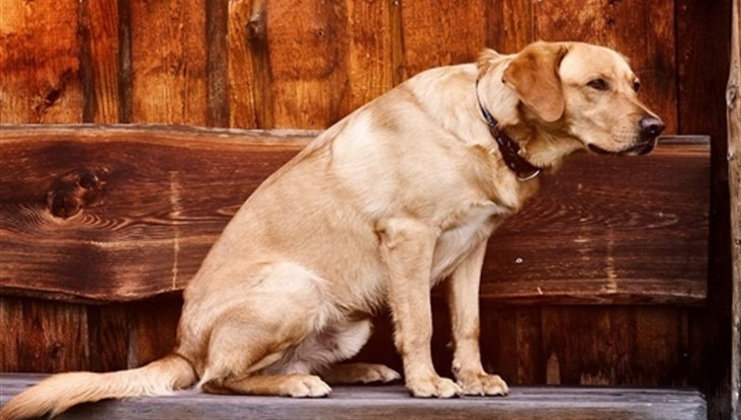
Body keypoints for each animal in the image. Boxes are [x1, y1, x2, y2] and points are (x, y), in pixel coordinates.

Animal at [1, 40, 664, 420]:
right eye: (596, 85)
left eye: (634, 84)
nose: (656, 128)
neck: (490, 125)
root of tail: (181, 348)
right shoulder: (409, 239)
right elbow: (421, 325)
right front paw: (430, 384)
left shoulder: (473, 247)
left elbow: (467, 324)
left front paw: (473, 378)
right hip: (295, 288)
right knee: (220, 379)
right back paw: (298, 385)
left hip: (349, 318)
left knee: (285, 363)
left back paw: (352, 372)